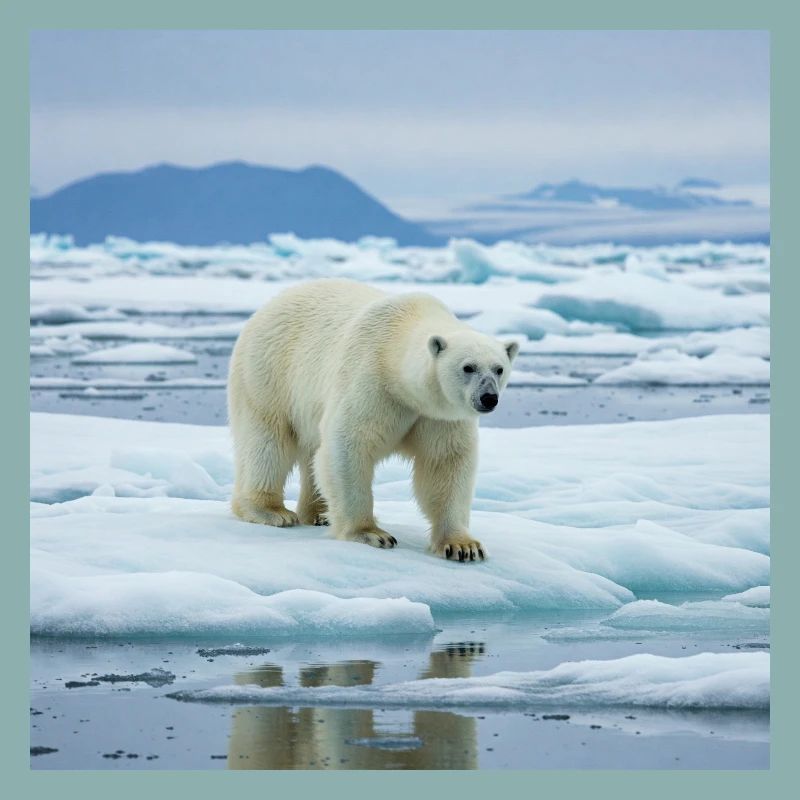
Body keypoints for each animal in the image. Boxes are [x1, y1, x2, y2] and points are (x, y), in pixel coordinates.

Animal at [227, 278, 519, 561]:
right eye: (468, 367)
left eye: (499, 369)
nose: (489, 397)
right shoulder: (372, 380)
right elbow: (348, 445)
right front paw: (371, 534)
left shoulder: (439, 414)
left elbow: (446, 462)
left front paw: (463, 546)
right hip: (269, 374)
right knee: (268, 443)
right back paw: (272, 511)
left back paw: (319, 513)